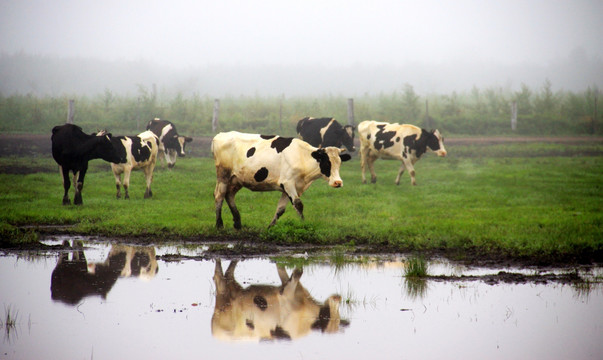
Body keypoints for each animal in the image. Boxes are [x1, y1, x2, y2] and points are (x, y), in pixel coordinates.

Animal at [212, 260, 346, 342]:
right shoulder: (287, 294)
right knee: (218, 276)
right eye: (327, 313)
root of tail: (215, 332)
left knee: (229, 274)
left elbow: (283, 272)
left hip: (233, 289)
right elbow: (298, 273)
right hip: (223, 296)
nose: (338, 297)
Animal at [214, 131, 352, 229]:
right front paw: (303, 224)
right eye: (327, 163)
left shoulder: (291, 188)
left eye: (339, 163)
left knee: (229, 195)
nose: (338, 182)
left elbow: (281, 209)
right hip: (223, 175)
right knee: (219, 196)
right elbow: (298, 204)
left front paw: (270, 226)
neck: (302, 156)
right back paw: (219, 224)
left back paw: (237, 223)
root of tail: (220, 135)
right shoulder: (288, 183)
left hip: (236, 179)